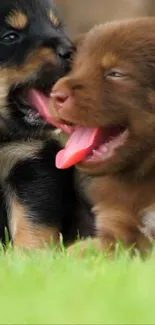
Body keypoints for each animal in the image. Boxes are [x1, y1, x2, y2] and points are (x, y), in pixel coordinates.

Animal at [0, 0, 94, 246]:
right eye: (10, 36)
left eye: (57, 27)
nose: (72, 51)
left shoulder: (30, 162)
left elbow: (31, 223)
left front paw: (30, 254)